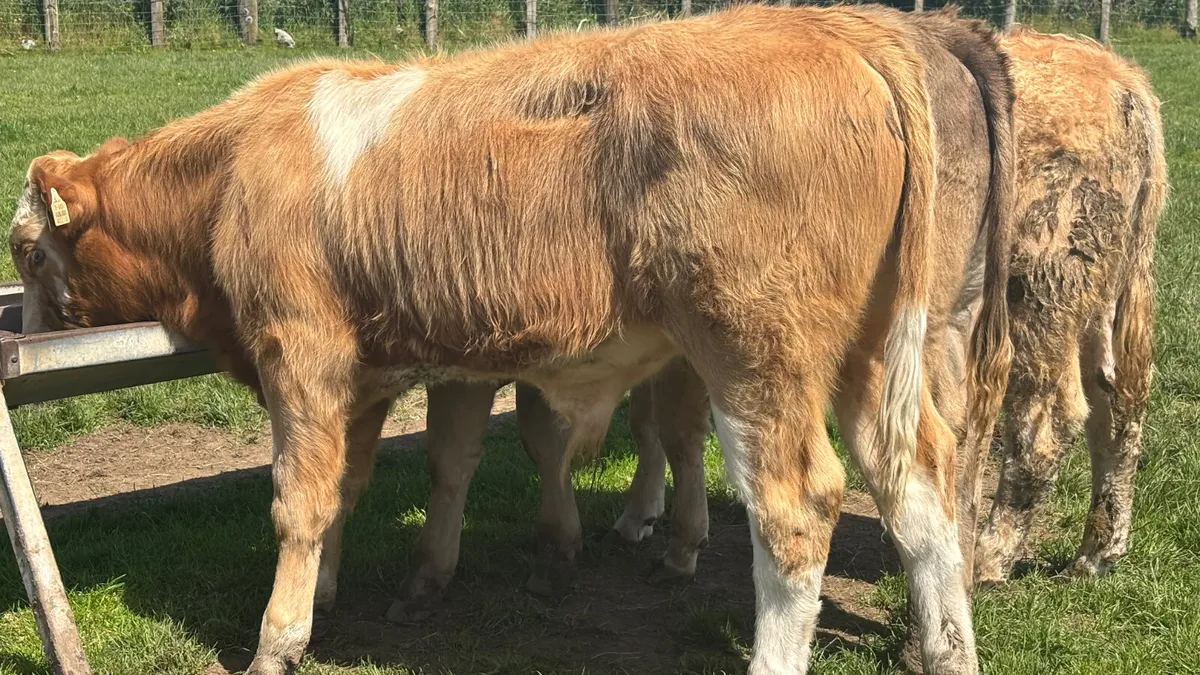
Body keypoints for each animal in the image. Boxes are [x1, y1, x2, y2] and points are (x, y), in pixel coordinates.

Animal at [8, 6, 993, 673]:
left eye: (26, 249)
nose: (25, 330)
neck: (239, 167)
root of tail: (837, 33)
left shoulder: (303, 353)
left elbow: (298, 498)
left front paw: (278, 638)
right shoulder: (378, 374)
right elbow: (359, 486)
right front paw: (340, 591)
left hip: (757, 355)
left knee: (797, 508)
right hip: (875, 351)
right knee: (916, 483)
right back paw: (947, 647)